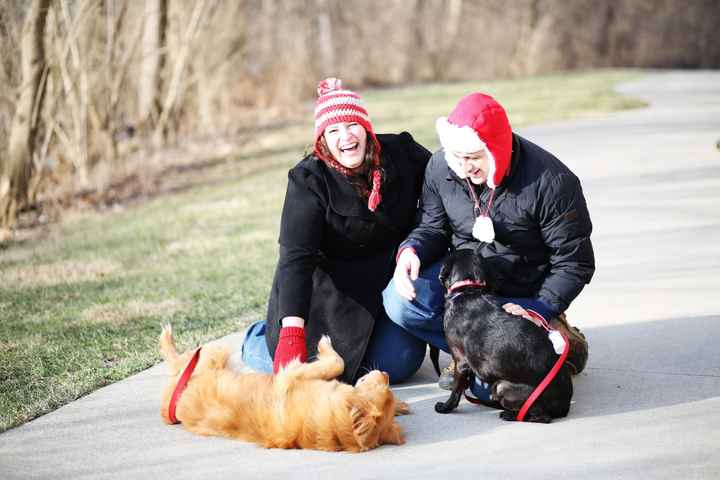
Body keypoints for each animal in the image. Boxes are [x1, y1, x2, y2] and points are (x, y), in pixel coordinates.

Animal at [434, 249, 572, 422]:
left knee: (540, 416)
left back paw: (508, 414)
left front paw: (445, 407)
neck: (467, 291)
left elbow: (456, 391)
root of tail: (564, 406)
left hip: (502, 386)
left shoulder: (461, 361)